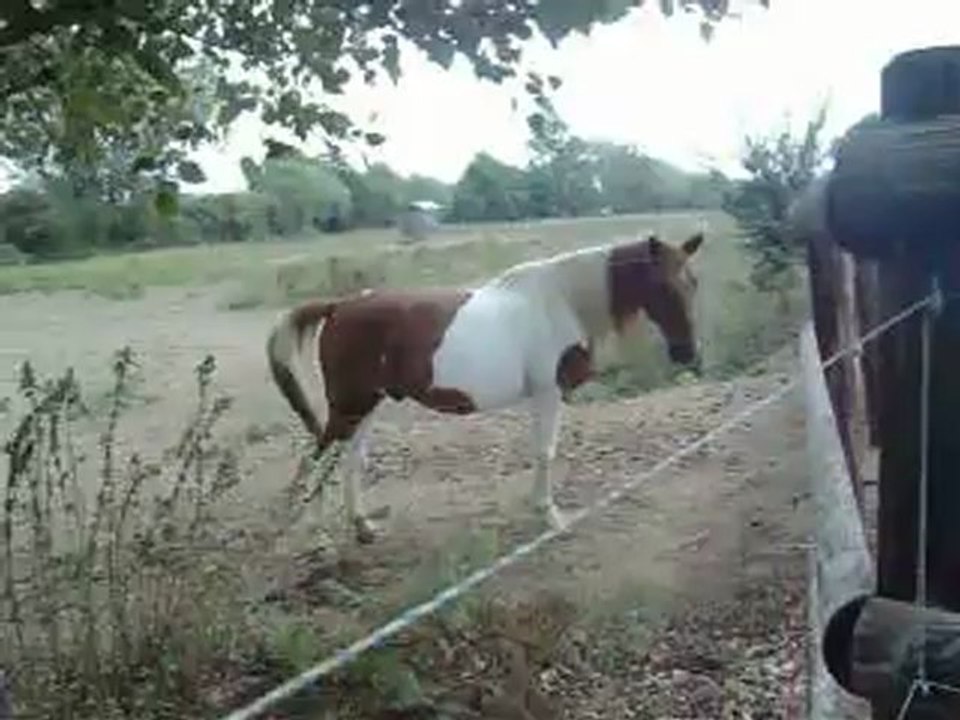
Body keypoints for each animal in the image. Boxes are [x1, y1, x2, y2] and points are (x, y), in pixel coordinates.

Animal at [266, 232, 705, 543]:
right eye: (662, 286)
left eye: (693, 283)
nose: (688, 353)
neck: (562, 301)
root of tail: (338, 306)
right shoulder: (548, 393)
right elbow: (545, 452)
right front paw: (550, 516)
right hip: (349, 405)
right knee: (318, 457)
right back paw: (319, 535)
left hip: (366, 404)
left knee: (349, 460)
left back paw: (363, 528)